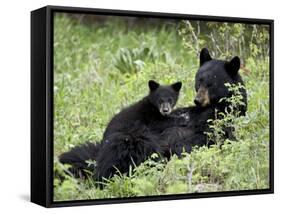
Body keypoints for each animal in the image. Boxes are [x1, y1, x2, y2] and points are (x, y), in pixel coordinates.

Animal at [58, 80, 186, 181]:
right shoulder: (149, 117)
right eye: (160, 100)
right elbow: (160, 122)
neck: (153, 107)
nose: (165, 110)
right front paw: (182, 118)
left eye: (170, 100)